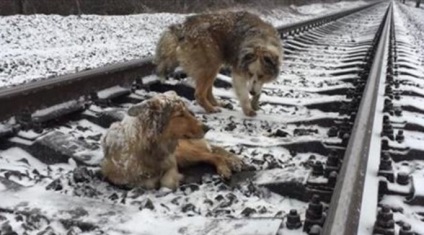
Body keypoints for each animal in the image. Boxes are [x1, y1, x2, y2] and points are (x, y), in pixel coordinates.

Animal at [100, 91, 243, 190]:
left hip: (184, 153)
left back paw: (226, 168)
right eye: (180, 115)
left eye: (188, 111)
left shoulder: (172, 162)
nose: (207, 128)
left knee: (213, 155)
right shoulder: (116, 176)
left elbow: (166, 182)